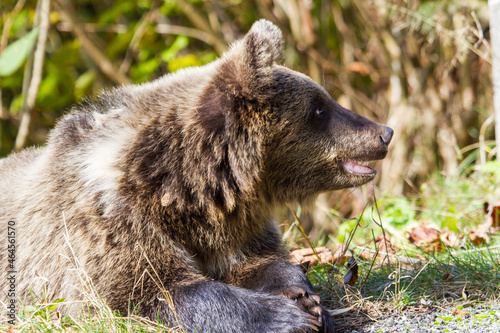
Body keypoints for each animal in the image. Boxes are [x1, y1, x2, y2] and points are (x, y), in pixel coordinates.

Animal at [0, 20, 392, 332]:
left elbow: (263, 261)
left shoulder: (233, 227)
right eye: (320, 108)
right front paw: (289, 316)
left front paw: (305, 297)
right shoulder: (110, 224)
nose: (384, 132)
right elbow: (157, 291)